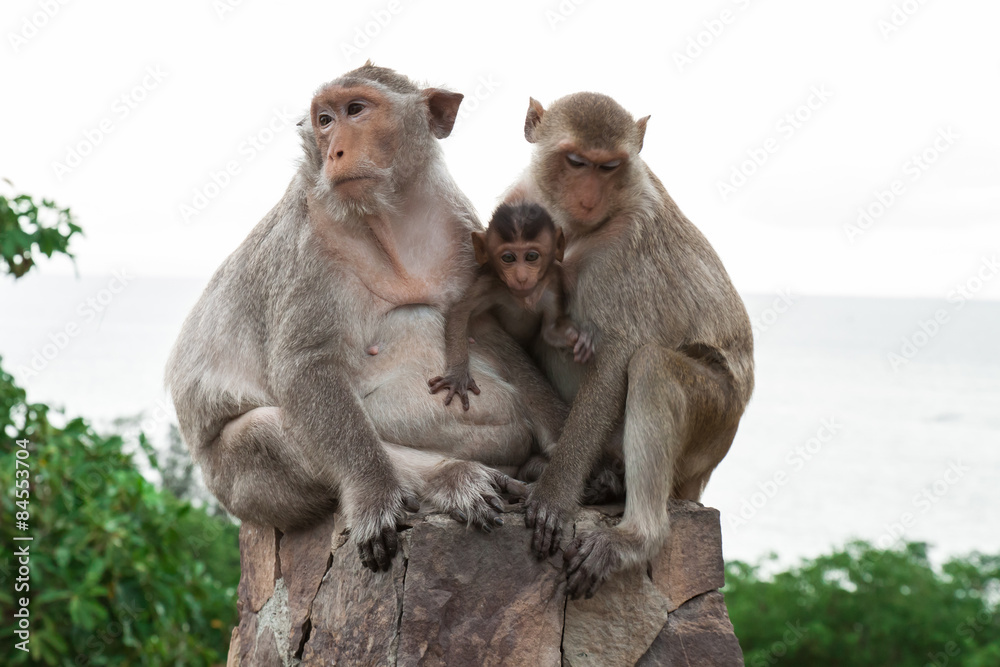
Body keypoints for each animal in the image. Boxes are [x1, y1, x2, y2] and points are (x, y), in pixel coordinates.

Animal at [165, 64, 569, 574]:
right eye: (324, 120)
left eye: (355, 109)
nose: (335, 150)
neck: (387, 219)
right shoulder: (307, 246)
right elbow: (306, 368)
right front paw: (377, 499)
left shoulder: (463, 229)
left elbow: (482, 330)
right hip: (239, 487)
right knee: (264, 431)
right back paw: (451, 478)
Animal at [427, 201, 594, 411]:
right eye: (508, 258)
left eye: (531, 256)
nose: (521, 278)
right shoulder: (490, 283)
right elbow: (460, 311)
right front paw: (458, 376)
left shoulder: (553, 284)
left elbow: (550, 330)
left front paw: (580, 339)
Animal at [507, 93, 755, 599]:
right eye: (576, 161)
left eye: (608, 167)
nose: (588, 197)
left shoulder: (623, 248)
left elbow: (618, 354)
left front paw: (554, 496)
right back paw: (602, 482)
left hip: (715, 420)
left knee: (653, 366)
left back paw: (635, 536)